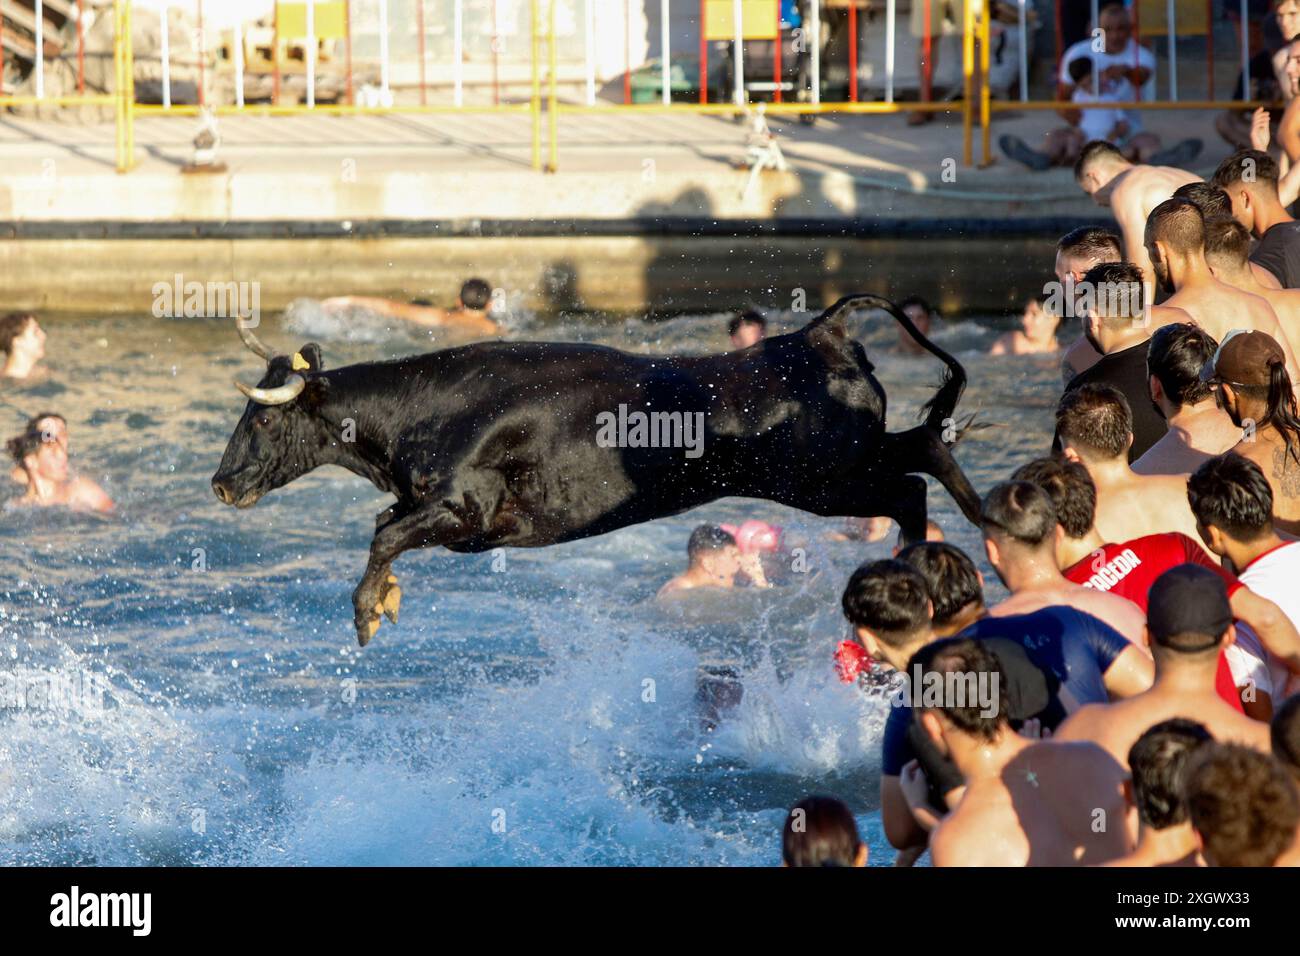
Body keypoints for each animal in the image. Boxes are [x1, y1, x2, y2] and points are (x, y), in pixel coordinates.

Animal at [213, 295, 977, 647]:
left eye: (262, 419)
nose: (222, 483)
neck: (426, 409)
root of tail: (822, 335)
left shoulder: (471, 515)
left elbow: (383, 534)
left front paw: (368, 609)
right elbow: (385, 526)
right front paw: (387, 596)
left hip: (823, 476)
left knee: (912, 480)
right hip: (835, 467)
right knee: (920, 457)